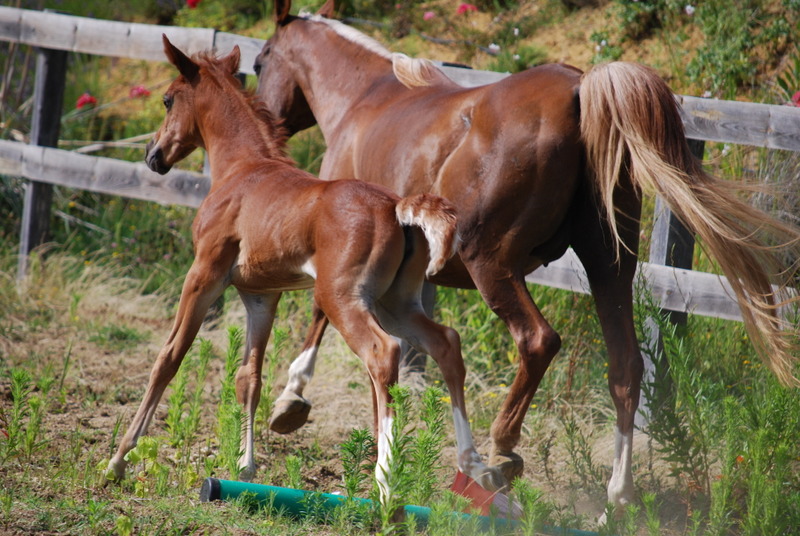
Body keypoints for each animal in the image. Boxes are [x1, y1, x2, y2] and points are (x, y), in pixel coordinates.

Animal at [106, 36, 506, 498]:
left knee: (383, 352)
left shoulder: (204, 274)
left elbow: (169, 357)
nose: (152, 154)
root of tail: (397, 206)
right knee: (446, 344)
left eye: (168, 100)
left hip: (341, 297)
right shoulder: (261, 295)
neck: (242, 170)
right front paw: (245, 466)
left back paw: (386, 478)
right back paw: (473, 465)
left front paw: (118, 460)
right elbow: (250, 376)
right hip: (396, 302)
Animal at [255, 0, 800, 510]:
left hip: (492, 263)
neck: (365, 100)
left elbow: (322, 313)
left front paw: (291, 401)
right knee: (625, 367)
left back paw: (501, 452)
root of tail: (579, 90)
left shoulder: (344, 258)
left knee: (538, 341)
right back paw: (614, 501)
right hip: (609, 268)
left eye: (260, 62)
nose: (267, 121)